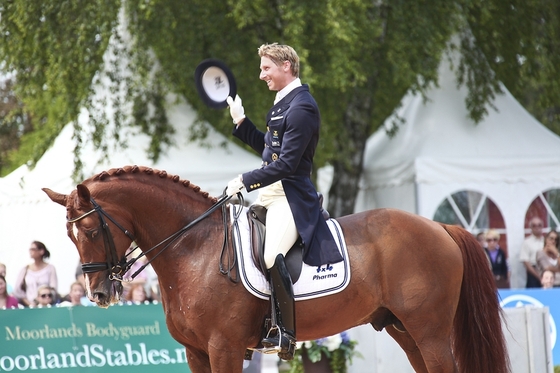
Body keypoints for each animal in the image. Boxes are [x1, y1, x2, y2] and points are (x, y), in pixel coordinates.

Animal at [42, 166, 508, 372]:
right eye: (68, 235)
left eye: (89, 229)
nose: (98, 294)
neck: (193, 248)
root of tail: (440, 227)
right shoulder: (195, 352)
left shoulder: (225, 348)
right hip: (404, 329)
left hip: (430, 331)